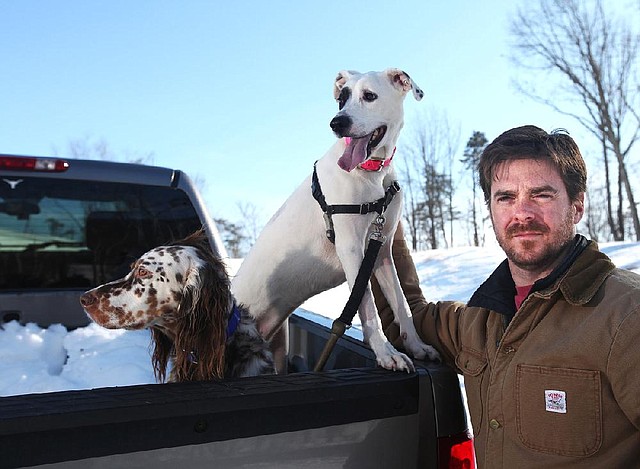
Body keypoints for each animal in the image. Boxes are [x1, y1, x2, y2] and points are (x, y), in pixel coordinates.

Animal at [234, 67, 440, 372]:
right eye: (341, 99)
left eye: (369, 96)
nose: (337, 123)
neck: (371, 174)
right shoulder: (351, 249)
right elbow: (366, 305)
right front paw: (385, 353)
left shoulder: (381, 251)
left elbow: (401, 304)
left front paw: (416, 346)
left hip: (278, 343)